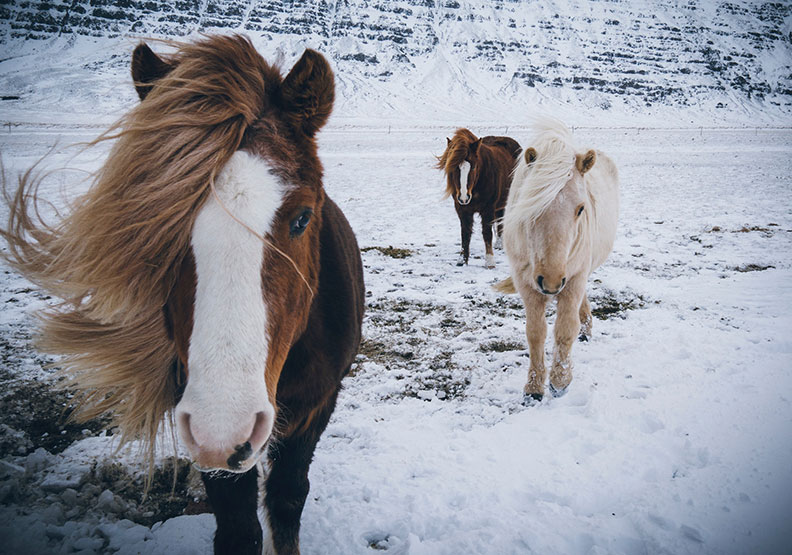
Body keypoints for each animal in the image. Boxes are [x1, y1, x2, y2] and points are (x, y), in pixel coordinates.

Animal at [0, 35, 366, 555]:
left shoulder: (318, 405)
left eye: (302, 217)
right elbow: (238, 526)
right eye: (164, 224)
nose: (224, 427)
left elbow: (287, 498)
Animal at [436, 130, 524, 270]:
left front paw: (490, 262)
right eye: (454, 168)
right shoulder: (462, 209)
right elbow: (465, 234)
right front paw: (462, 260)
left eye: (473, 167)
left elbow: (487, 233)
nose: (464, 197)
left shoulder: (487, 209)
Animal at [496, 118, 620, 404]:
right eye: (532, 206)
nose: (551, 282)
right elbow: (535, 333)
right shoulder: (527, 284)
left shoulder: (573, 279)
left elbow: (565, 329)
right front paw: (533, 388)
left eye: (581, 208)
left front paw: (560, 382)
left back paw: (585, 330)